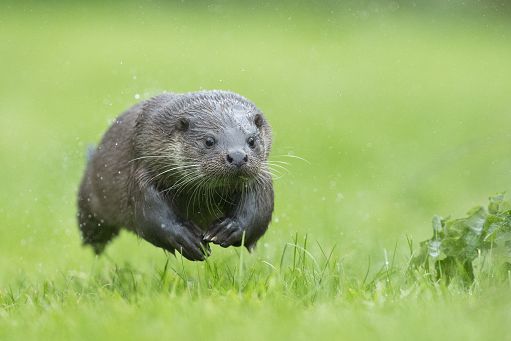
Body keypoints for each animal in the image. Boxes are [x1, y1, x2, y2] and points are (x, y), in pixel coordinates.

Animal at [77, 89, 274, 260]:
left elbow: (258, 210)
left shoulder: (261, 178)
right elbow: (151, 214)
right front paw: (187, 239)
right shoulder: (142, 170)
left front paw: (229, 229)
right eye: (209, 140)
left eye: (251, 140)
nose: (238, 156)